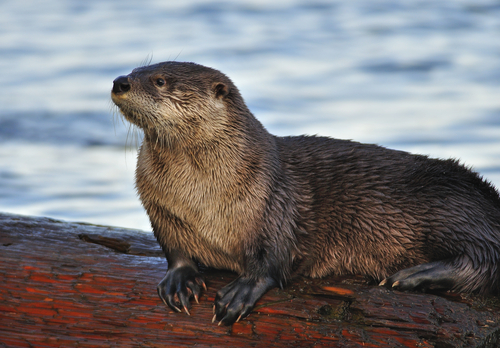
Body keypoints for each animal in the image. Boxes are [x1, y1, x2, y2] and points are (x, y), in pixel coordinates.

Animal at [111, 61, 500, 324]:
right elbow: (175, 250)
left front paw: (240, 292)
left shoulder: (272, 202)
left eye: (160, 80)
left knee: (484, 259)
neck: (199, 197)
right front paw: (179, 280)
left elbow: (270, 260)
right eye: (136, 68)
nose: (120, 81)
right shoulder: (162, 211)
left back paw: (412, 276)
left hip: (452, 208)